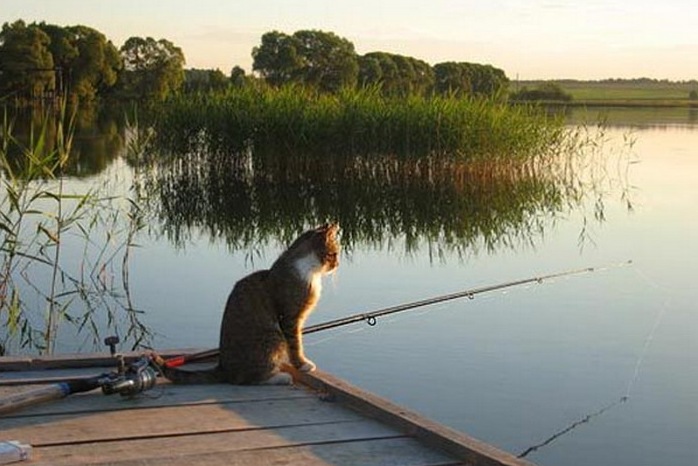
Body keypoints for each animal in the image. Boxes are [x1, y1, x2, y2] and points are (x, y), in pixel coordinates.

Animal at [158, 224, 342, 384]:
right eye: (333, 254)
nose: (337, 264)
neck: (308, 270)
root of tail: (223, 369)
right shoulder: (290, 318)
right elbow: (296, 344)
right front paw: (303, 364)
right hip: (274, 337)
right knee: (248, 379)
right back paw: (280, 377)